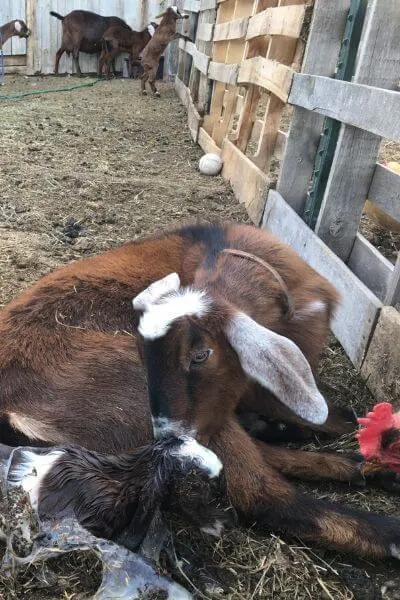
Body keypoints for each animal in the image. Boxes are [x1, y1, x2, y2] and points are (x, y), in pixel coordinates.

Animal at [0, 221, 398, 564]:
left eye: (200, 354)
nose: (168, 437)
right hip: (127, 389)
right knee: (261, 493)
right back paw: (386, 521)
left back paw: (364, 466)